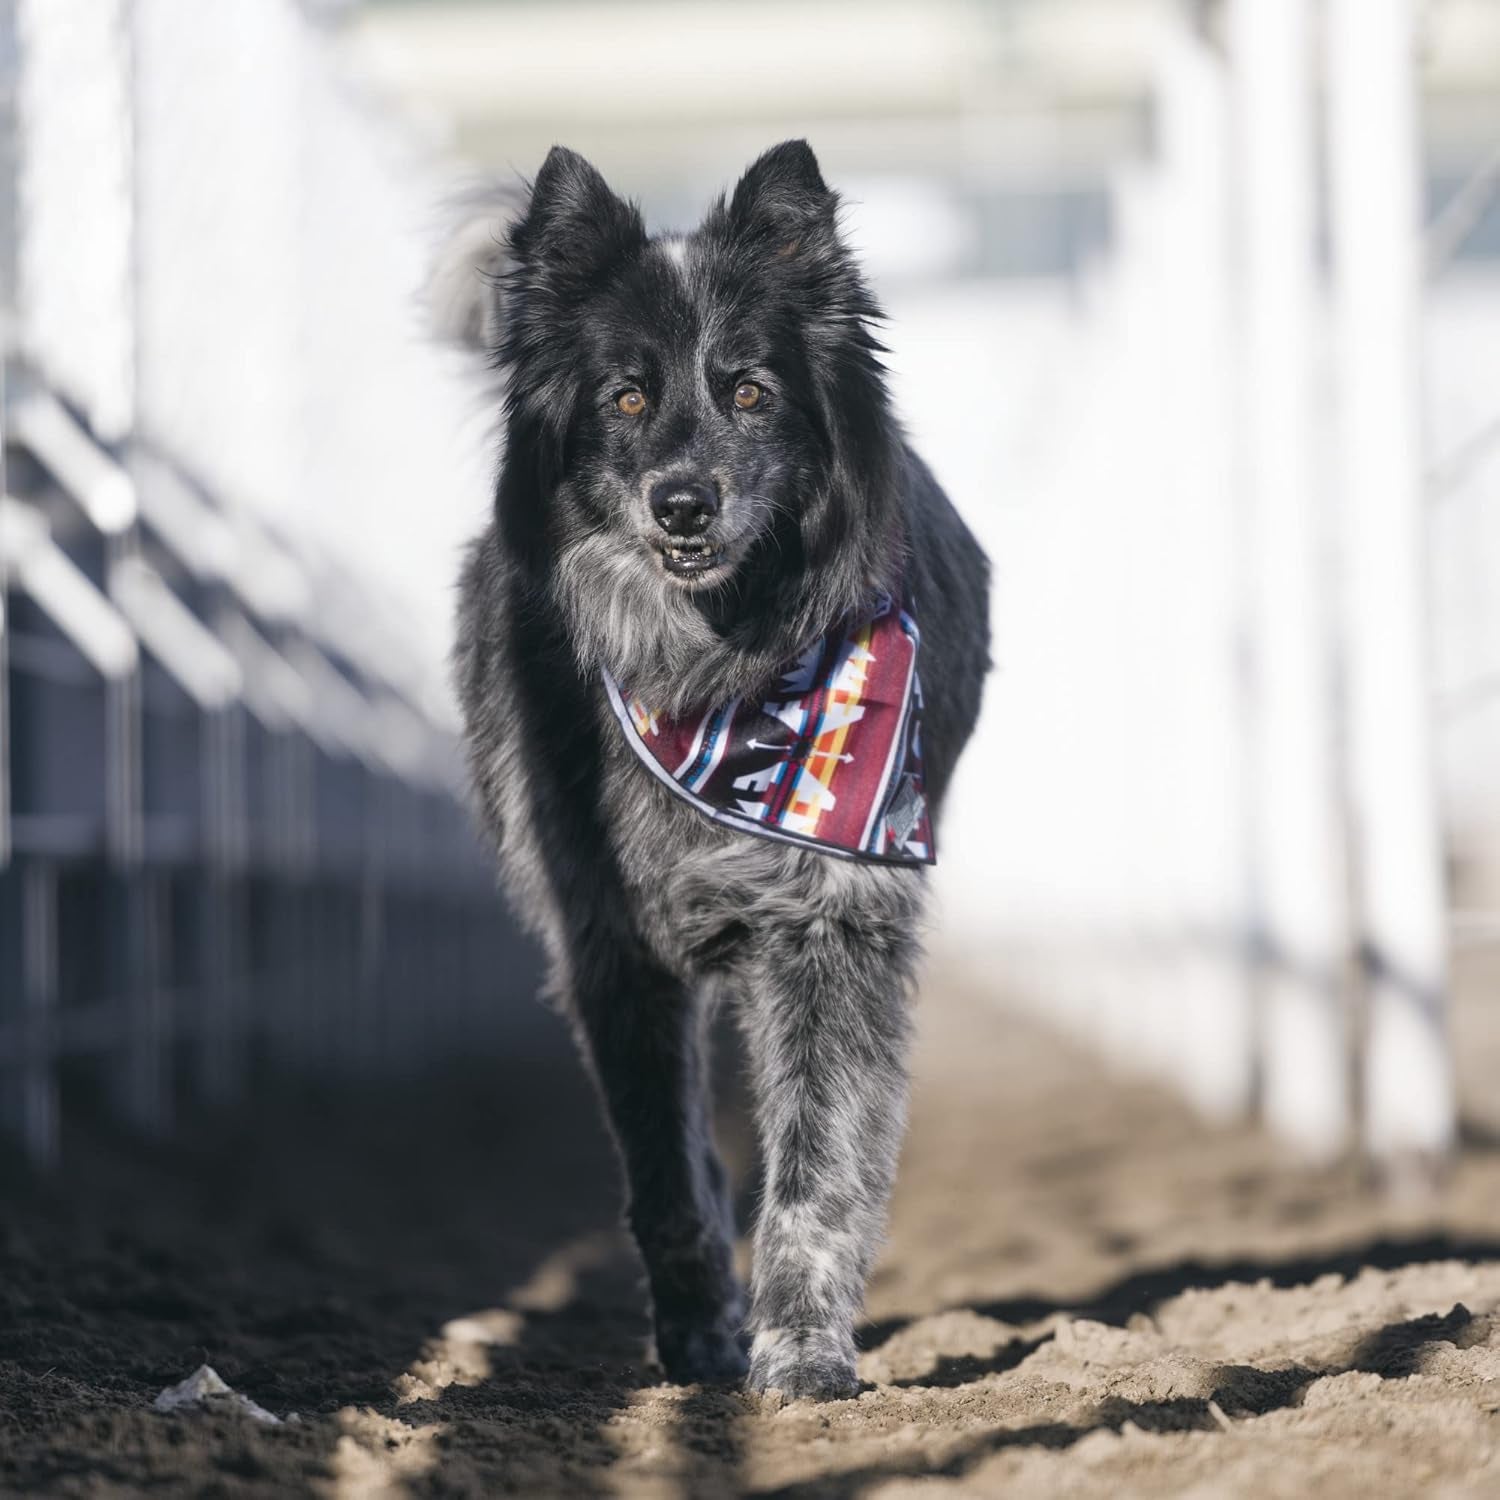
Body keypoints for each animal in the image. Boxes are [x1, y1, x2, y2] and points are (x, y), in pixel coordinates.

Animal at [450, 143, 990, 1404]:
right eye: (626, 397)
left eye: (750, 392)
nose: (684, 501)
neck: (708, 673)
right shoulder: (612, 947)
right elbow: (671, 1181)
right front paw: (702, 1348)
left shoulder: (832, 928)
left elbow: (816, 1172)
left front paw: (800, 1359)